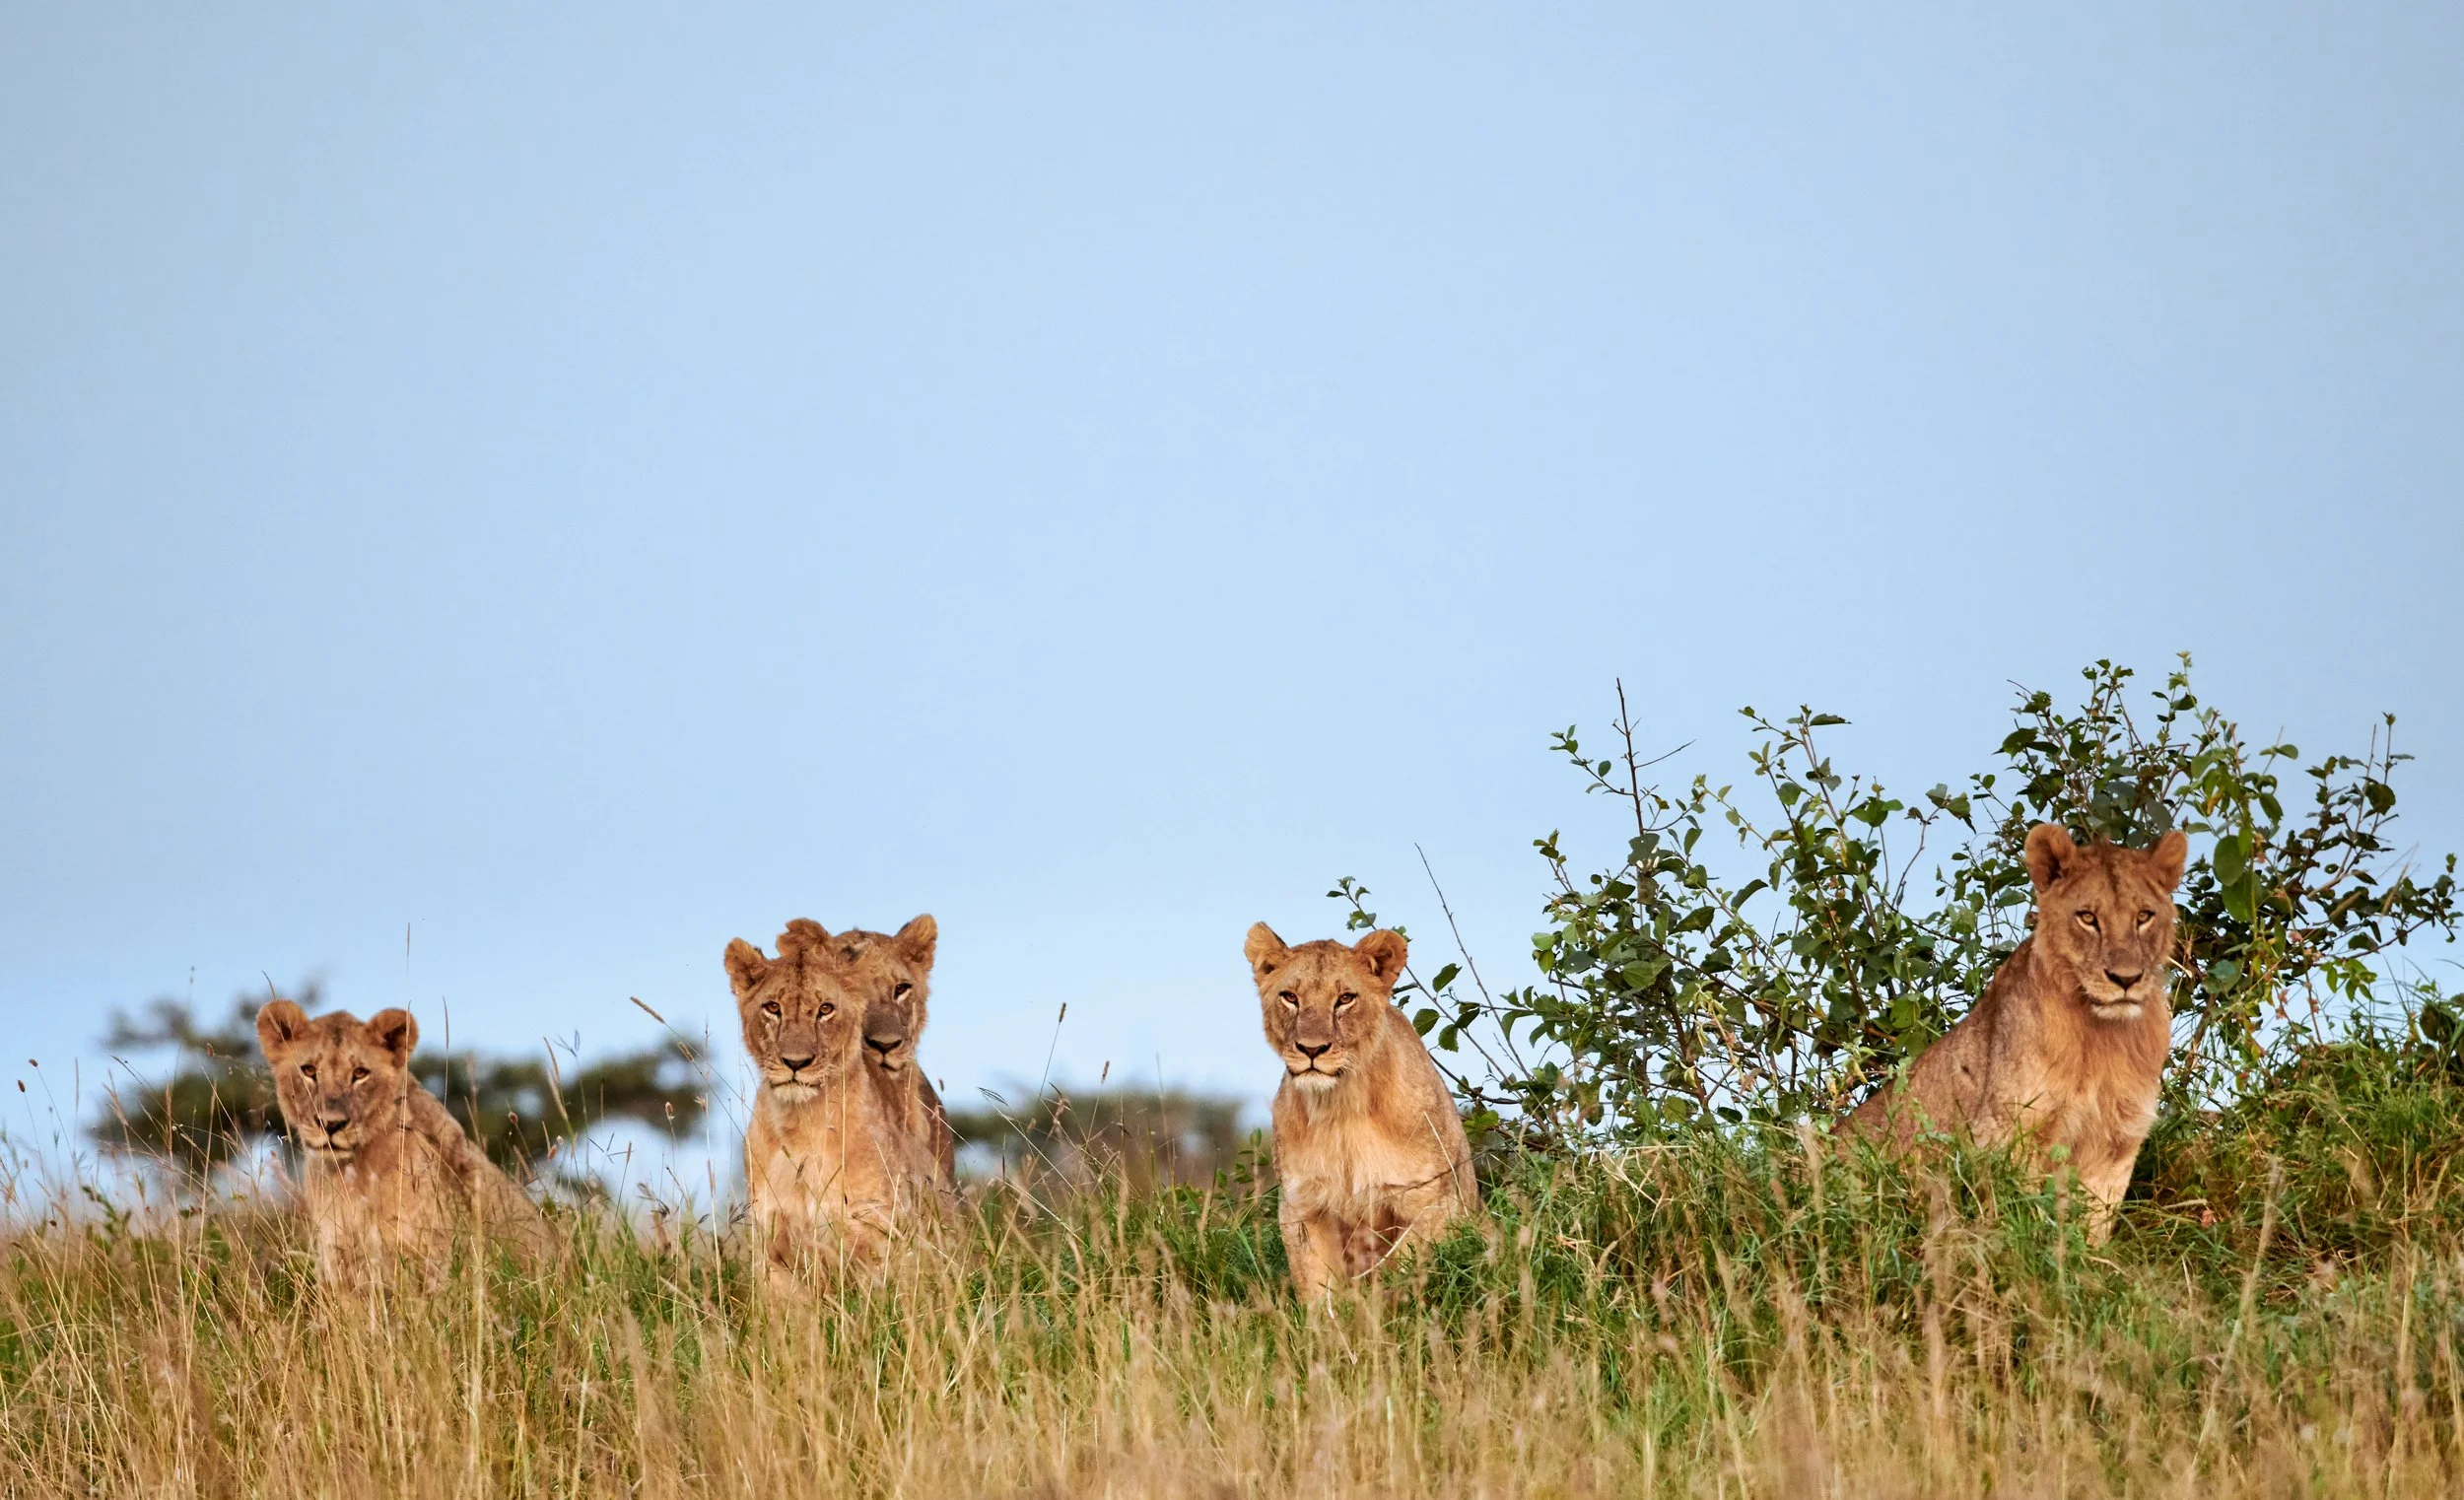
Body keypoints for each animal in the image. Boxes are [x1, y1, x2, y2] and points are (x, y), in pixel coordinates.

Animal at [255, 999, 557, 1287]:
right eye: (308, 1070)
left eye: (360, 1073)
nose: (330, 1124)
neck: (345, 1174)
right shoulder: (338, 1265)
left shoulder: (434, 1260)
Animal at [728, 926, 943, 1282]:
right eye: (772, 1007)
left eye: (825, 1009)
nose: (795, 1062)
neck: (799, 1124)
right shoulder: (773, 1250)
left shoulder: (877, 1233)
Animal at [1244, 924, 1479, 1299]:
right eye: (1290, 997)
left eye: (1345, 999)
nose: (1312, 1049)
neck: (1340, 1107)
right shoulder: (1302, 1207)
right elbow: (1318, 1288)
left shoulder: (1434, 1201)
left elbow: (1400, 1269)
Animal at [1842, 823, 2189, 1242]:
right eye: (2088, 917)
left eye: (2144, 916)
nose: (2126, 979)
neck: (2104, 1037)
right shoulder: (2007, 1133)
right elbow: (2021, 1216)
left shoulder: (2118, 1142)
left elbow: (2095, 1225)